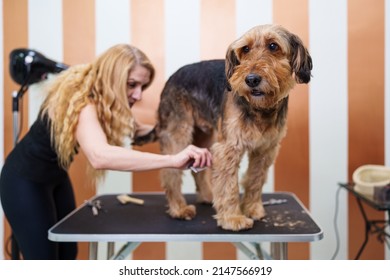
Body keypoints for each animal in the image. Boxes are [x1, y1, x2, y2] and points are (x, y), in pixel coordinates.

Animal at [136, 24, 312, 231]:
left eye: (273, 46)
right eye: (245, 49)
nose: (251, 79)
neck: (259, 109)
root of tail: (170, 78)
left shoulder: (265, 149)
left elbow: (255, 180)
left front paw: (252, 208)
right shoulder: (229, 148)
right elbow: (229, 185)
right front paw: (233, 218)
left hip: (204, 137)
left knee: (198, 172)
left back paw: (207, 197)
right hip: (177, 135)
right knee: (170, 173)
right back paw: (179, 208)